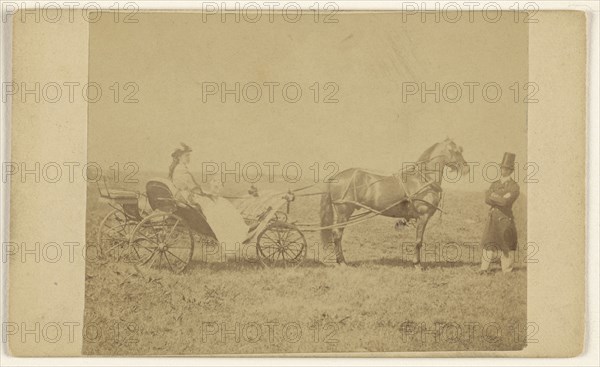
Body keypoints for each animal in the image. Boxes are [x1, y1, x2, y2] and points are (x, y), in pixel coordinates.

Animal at [322, 137, 472, 268]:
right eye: (456, 151)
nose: (466, 168)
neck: (423, 180)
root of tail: (335, 177)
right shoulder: (423, 216)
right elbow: (418, 241)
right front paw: (417, 264)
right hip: (344, 212)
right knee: (337, 234)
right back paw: (342, 262)